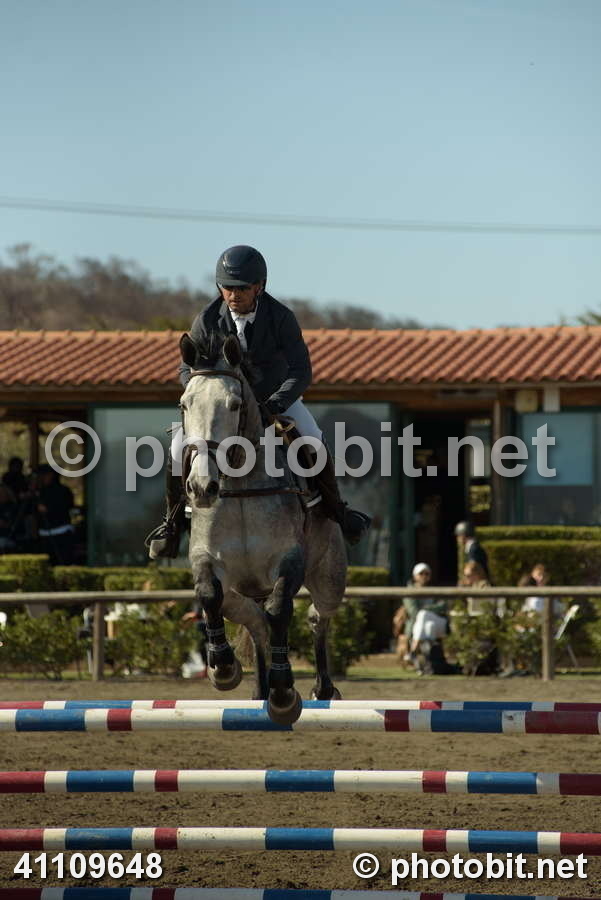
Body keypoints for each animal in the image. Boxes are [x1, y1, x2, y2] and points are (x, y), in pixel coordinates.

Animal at [178, 331, 347, 725]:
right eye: (185, 405)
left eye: (235, 405)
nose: (202, 488)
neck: (240, 486)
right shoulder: (206, 558)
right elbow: (208, 594)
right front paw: (223, 669)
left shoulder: (288, 560)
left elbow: (279, 610)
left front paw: (284, 693)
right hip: (239, 593)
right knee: (254, 621)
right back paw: (256, 687)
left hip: (330, 576)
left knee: (317, 617)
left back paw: (322, 688)